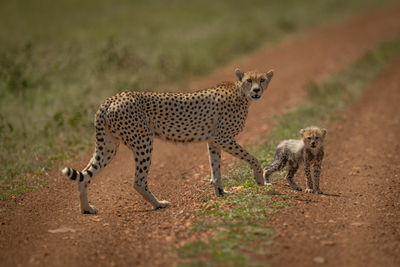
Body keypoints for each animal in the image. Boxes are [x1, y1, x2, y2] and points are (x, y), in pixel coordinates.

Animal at [61, 68, 276, 214]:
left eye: (262, 80)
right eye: (249, 81)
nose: (256, 90)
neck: (241, 94)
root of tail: (111, 98)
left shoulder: (213, 141)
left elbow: (216, 170)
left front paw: (221, 193)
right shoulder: (222, 138)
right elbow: (253, 158)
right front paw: (260, 180)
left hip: (108, 146)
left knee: (85, 175)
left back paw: (87, 208)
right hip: (143, 142)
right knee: (138, 181)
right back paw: (158, 204)